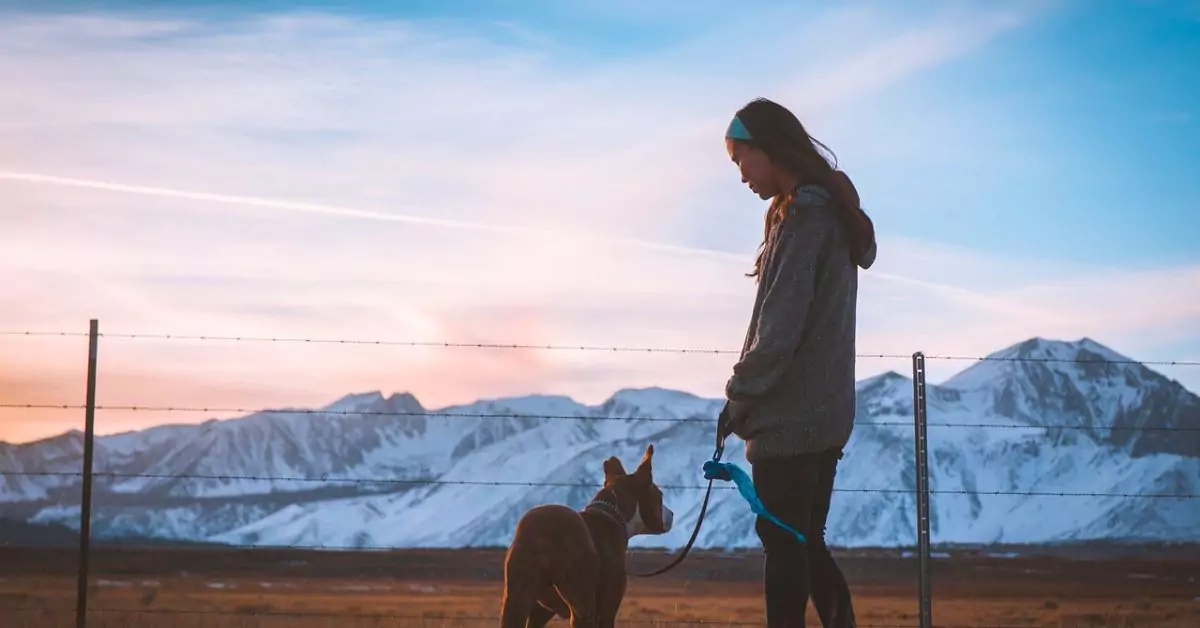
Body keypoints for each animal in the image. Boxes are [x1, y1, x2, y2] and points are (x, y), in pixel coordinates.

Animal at [499, 444, 676, 624]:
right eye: (660, 496)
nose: (673, 513)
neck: (614, 513)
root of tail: (544, 530)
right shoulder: (607, 609)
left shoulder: (541, 611)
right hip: (582, 604)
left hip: (516, 599)